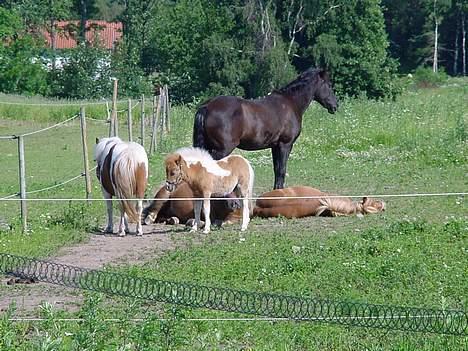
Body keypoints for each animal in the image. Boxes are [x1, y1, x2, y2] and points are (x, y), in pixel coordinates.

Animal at [193, 69, 336, 190]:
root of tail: (207, 106)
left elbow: (276, 169)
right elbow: (281, 170)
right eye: (329, 85)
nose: (335, 105)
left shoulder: (275, 146)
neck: (290, 103)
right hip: (222, 149)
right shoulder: (285, 145)